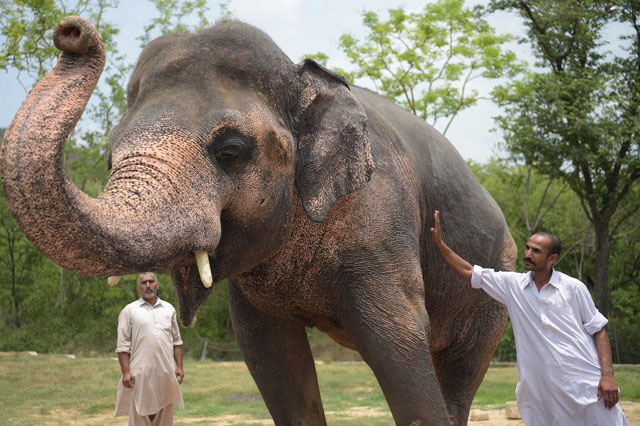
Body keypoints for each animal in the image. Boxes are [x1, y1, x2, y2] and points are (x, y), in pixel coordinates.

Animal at [0, 16, 516, 426]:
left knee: (458, 376)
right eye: (109, 158)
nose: (72, 32)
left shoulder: (381, 221)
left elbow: (397, 342)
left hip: (494, 287)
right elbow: (270, 356)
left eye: (231, 150)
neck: (303, 77)